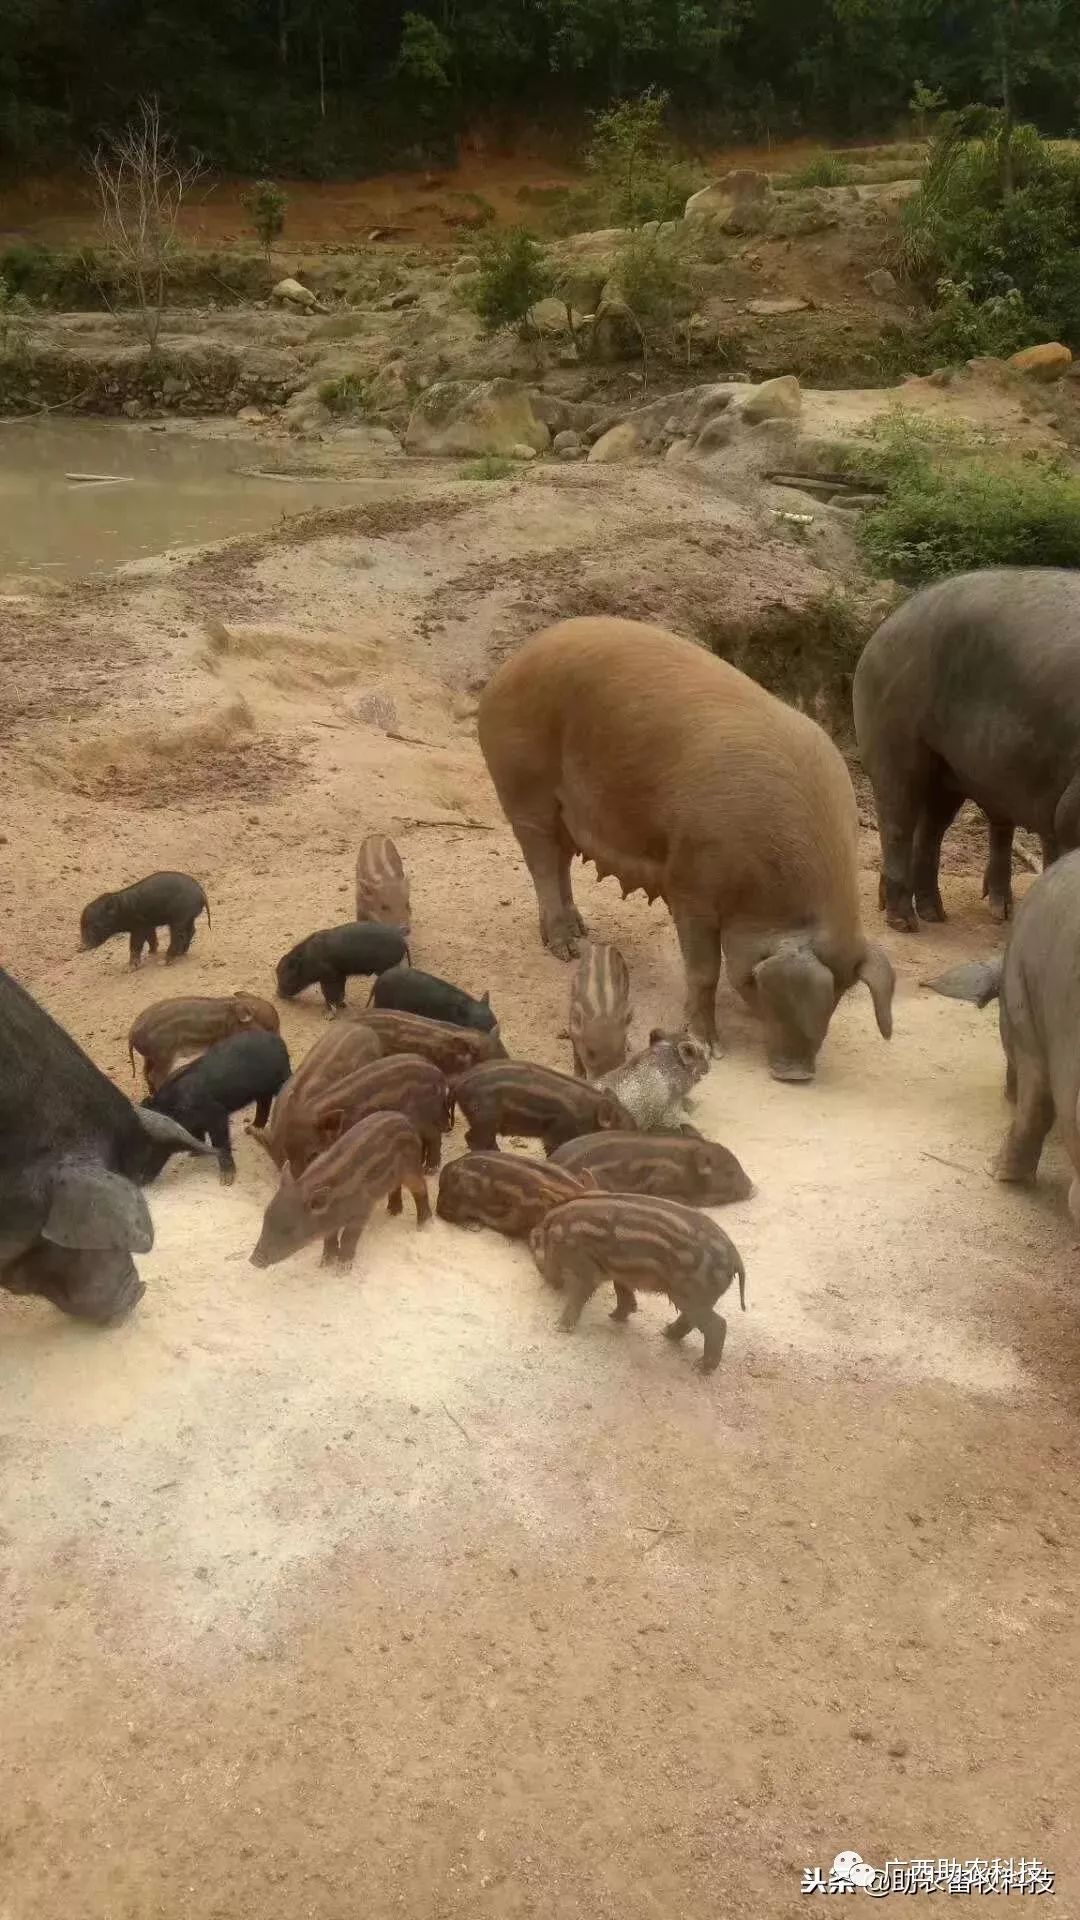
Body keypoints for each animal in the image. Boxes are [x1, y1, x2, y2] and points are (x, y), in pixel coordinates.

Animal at [80, 875, 210, 967]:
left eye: (95, 926)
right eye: (81, 925)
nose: (83, 946)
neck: (122, 910)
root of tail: (202, 893)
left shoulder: (138, 927)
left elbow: (135, 945)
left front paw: (130, 968)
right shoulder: (148, 925)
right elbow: (151, 938)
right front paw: (151, 953)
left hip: (179, 919)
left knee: (178, 936)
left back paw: (164, 962)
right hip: (188, 918)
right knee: (191, 931)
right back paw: (181, 953)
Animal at [145, 1036, 294, 1182]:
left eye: (150, 1147)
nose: (143, 1181)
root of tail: (278, 1041)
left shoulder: (217, 1114)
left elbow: (220, 1142)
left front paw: (226, 1180)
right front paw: (194, 1154)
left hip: (281, 1078)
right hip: (262, 1091)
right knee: (264, 1102)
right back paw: (252, 1129)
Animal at [274, 921, 409, 1013]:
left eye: (287, 975)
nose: (278, 994)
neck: (308, 959)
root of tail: (402, 940)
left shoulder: (329, 977)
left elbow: (330, 993)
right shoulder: (340, 976)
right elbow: (340, 992)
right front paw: (341, 1006)